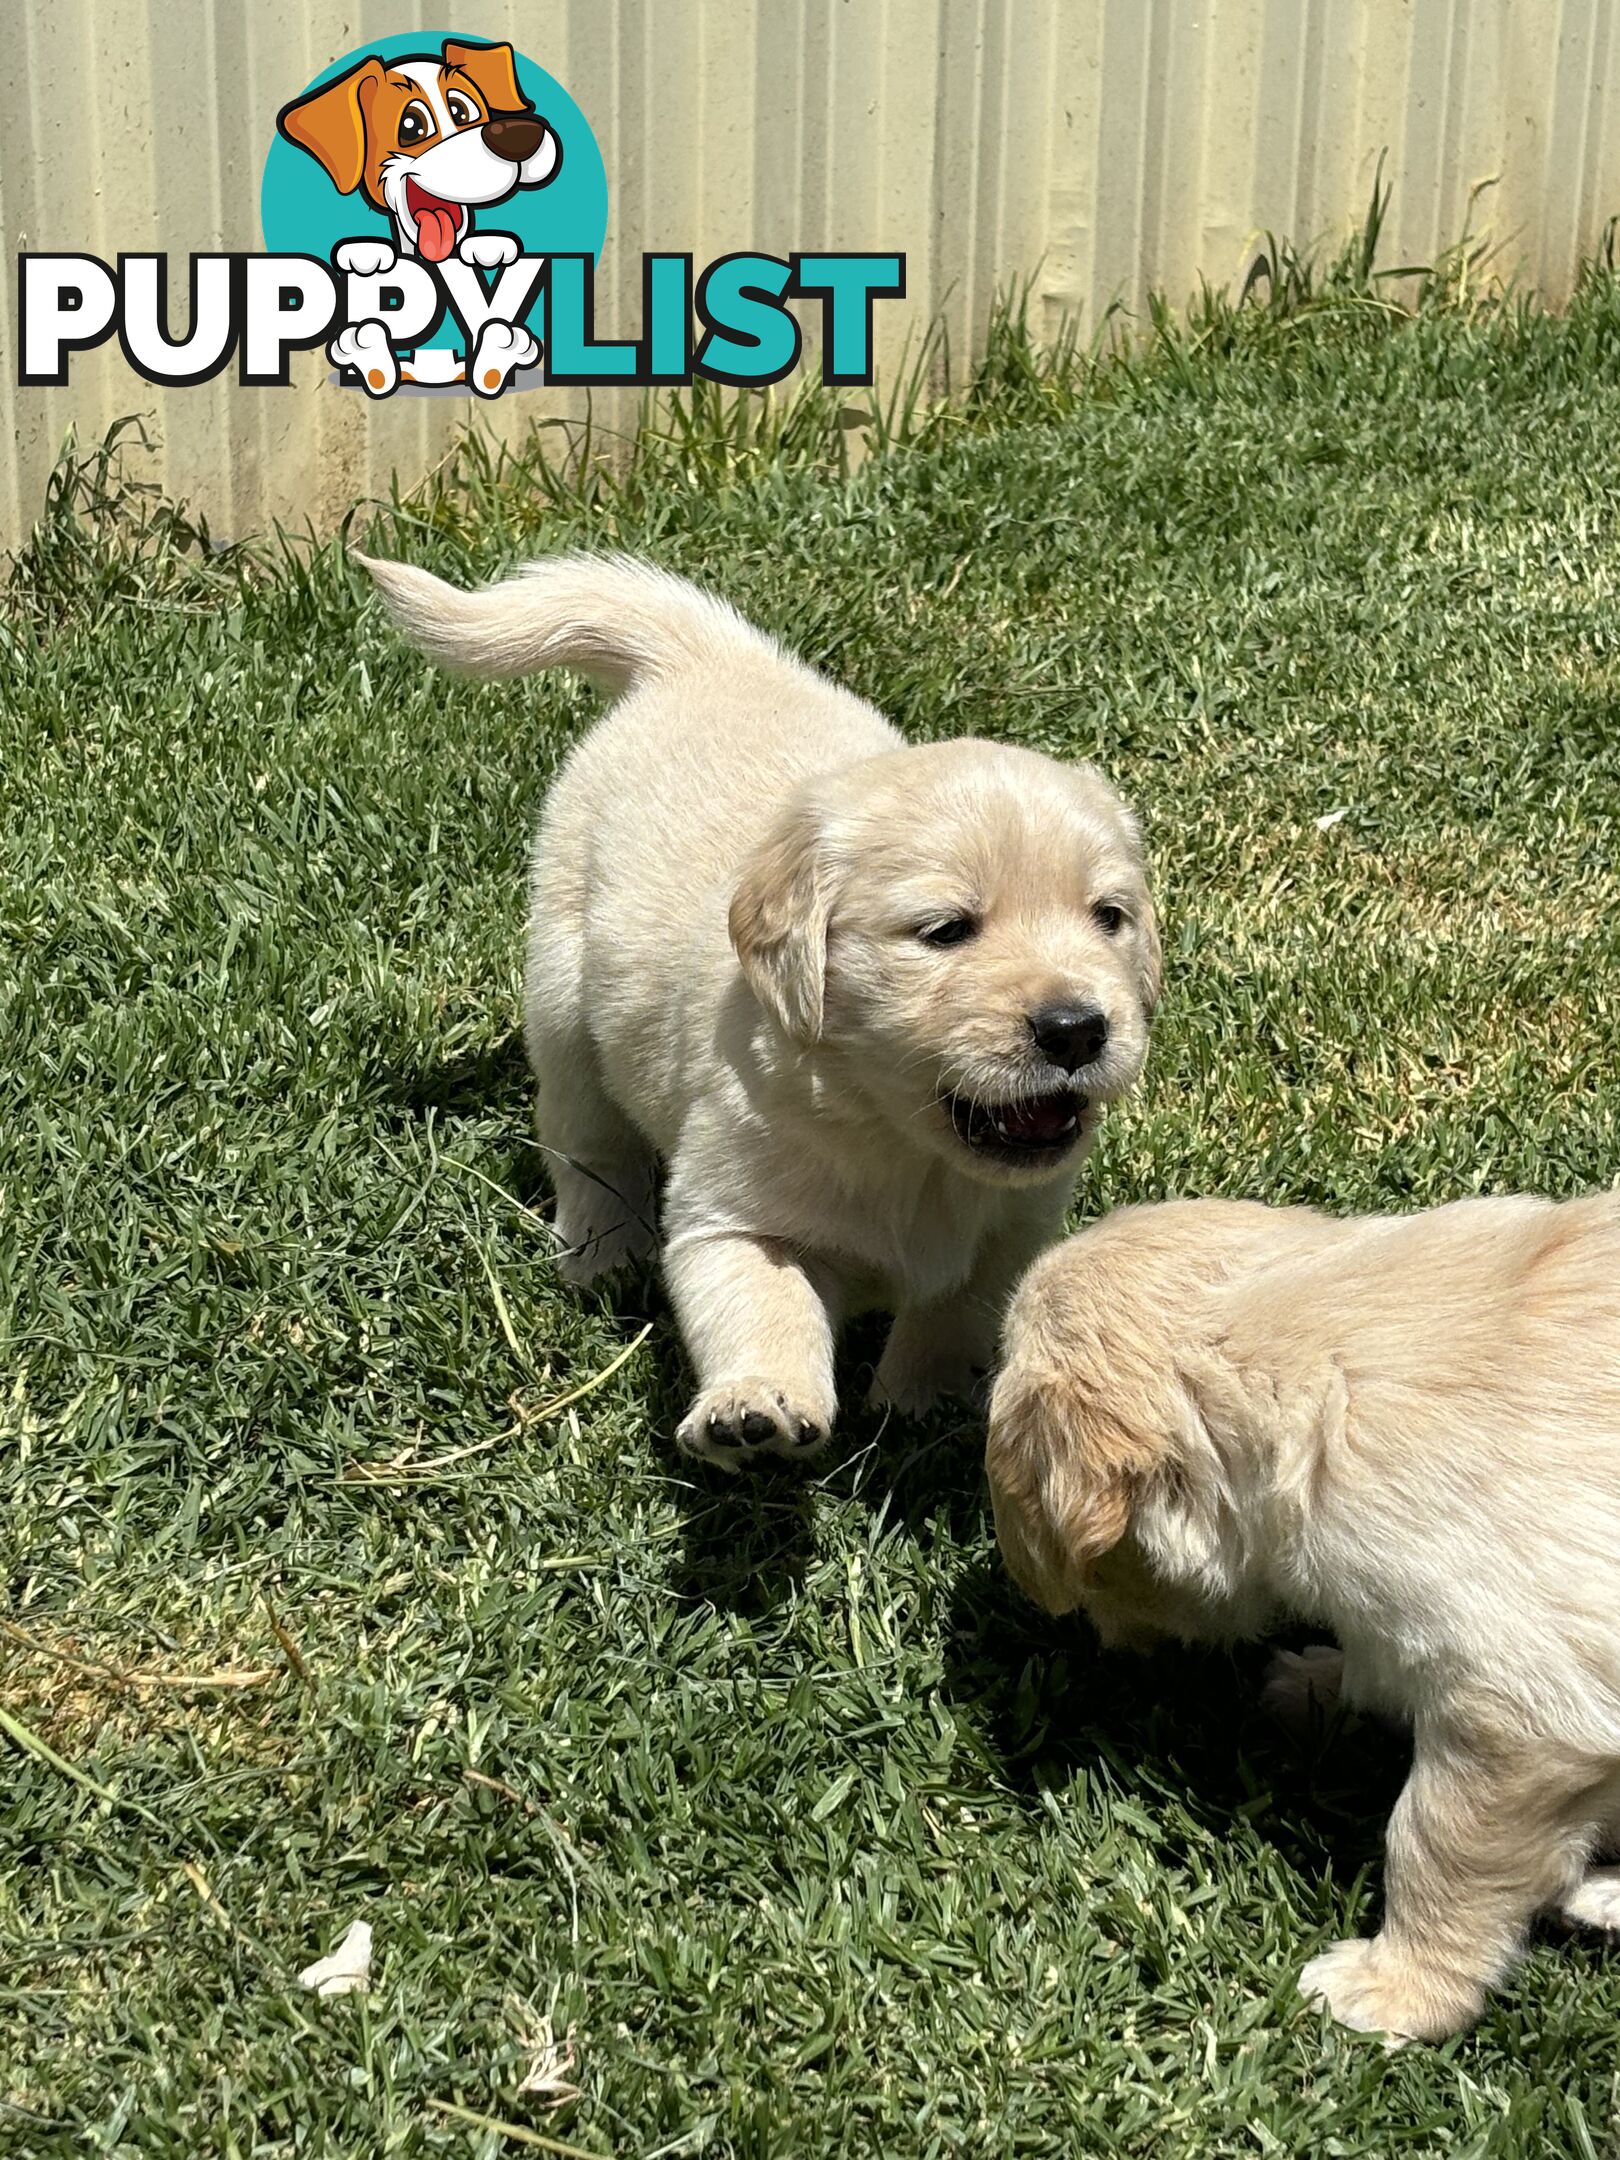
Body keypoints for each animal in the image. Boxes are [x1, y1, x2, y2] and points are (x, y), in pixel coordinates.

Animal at [365, 557, 1166, 1468]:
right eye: (946, 931)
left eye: (1109, 917)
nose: (1078, 1029)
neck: (899, 1143)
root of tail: (706, 654)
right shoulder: (735, 1213)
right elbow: (763, 1304)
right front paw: (754, 1407)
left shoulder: (1011, 1233)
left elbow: (954, 1313)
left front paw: (920, 1405)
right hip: (564, 998)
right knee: (588, 1140)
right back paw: (604, 1250)